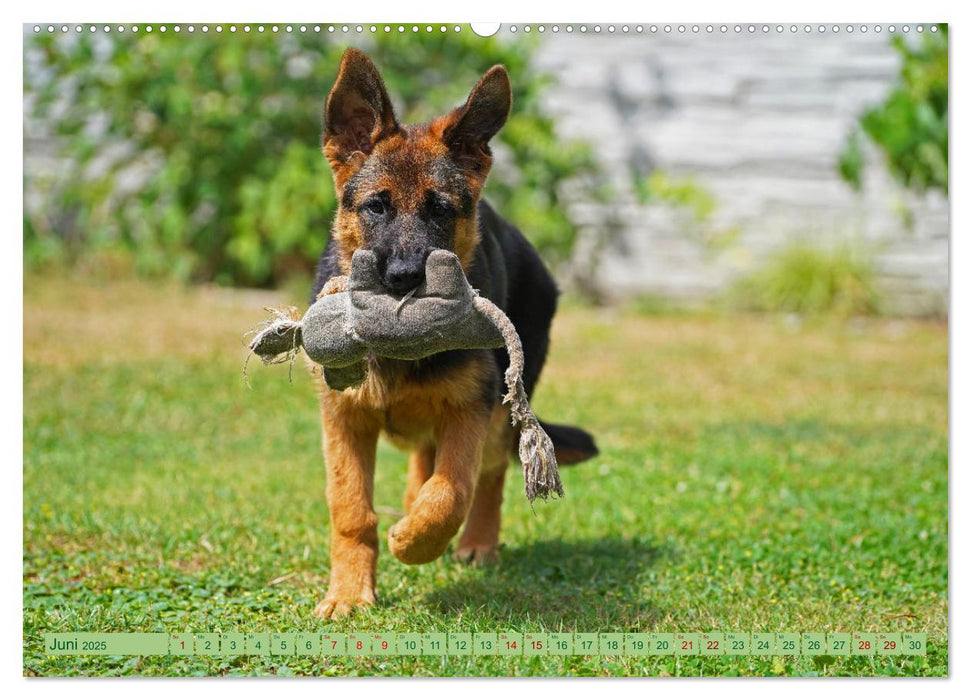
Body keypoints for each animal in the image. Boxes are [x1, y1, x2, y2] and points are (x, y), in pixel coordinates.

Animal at [312, 49, 600, 616]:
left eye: (440, 209)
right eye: (375, 206)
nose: (404, 278)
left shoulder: (470, 408)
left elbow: (452, 491)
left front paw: (414, 541)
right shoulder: (344, 418)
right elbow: (351, 509)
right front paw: (350, 593)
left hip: (502, 406)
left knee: (490, 473)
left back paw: (475, 543)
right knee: (425, 457)